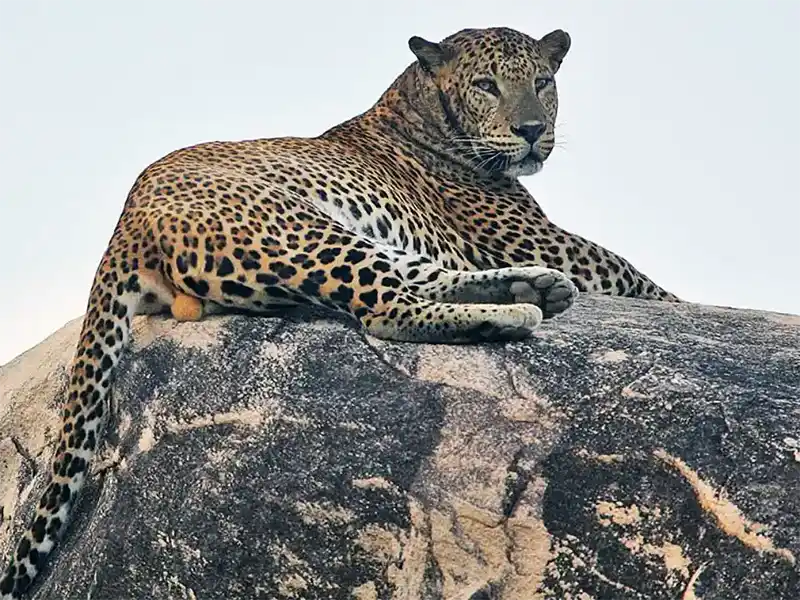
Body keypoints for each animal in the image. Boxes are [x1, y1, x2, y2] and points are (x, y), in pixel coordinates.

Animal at [0, 25, 680, 598]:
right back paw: (514, 315)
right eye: (488, 85)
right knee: (385, 307)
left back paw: (532, 291)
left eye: (542, 80)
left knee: (421, 277)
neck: (416, 109)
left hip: (355, 239)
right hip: (303, 230)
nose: (534, 129)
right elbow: (644, 280)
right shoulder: (549, 241)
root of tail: (126, 221)